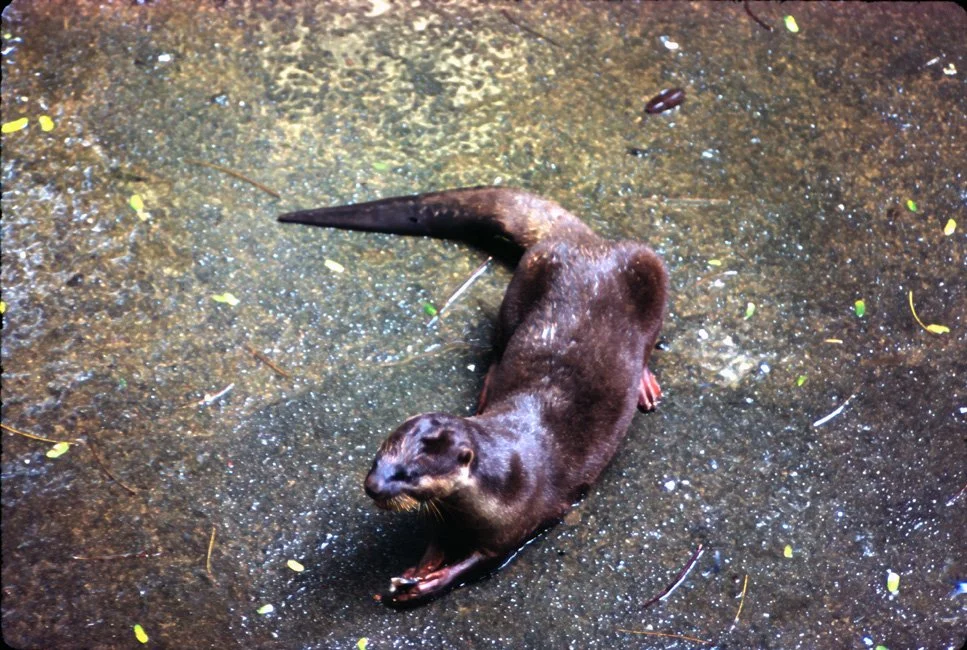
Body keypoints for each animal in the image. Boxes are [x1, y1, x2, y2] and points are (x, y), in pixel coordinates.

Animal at [278, 187, 667, 603]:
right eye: (377, 459)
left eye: (408, 473)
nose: (373, 486)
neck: (500, 486)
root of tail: (587, 244)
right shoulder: (447, 518)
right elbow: (437, 542)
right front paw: (419, 569)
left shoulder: (514, 526)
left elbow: (477, 562)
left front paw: (426, 584)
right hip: (528, 274)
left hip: (650, 265)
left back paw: (644, 383)